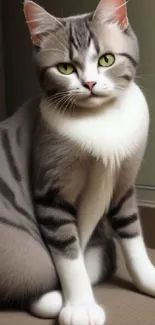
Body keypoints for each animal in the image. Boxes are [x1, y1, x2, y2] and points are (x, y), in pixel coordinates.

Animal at [0, 0, 155, 322]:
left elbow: (132, 237)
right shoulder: (51, 195)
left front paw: (148, 278)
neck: (100, 118)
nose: (90, 83)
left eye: (106, 60)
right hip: (23, 252)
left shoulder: (123, 185)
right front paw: (80, 306)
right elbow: (69, 257)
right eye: (65, 68)